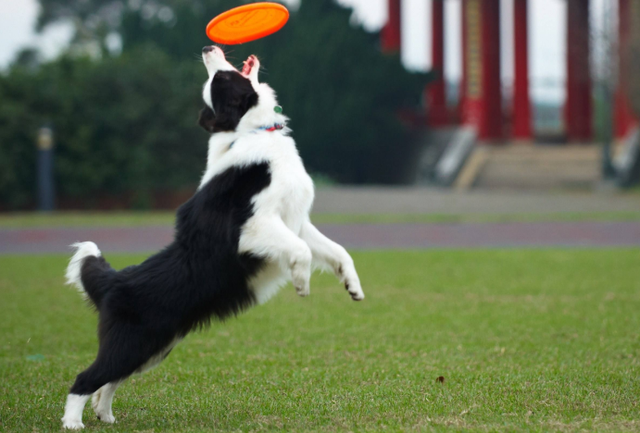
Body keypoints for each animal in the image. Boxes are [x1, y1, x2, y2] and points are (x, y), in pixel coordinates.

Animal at [60, 44, 364, 428]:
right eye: (219, 80)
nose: (207, 47)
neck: (254, 131)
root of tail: (115, 281)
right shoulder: (253, 226)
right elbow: (302, 252)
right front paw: (302, 283)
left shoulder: (296, 221)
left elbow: (337, 251)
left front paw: (352, 286)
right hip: (133, 343)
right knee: (86, 377)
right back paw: (73, 423)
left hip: (152, 347)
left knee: (109, 380)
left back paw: (105, 414)